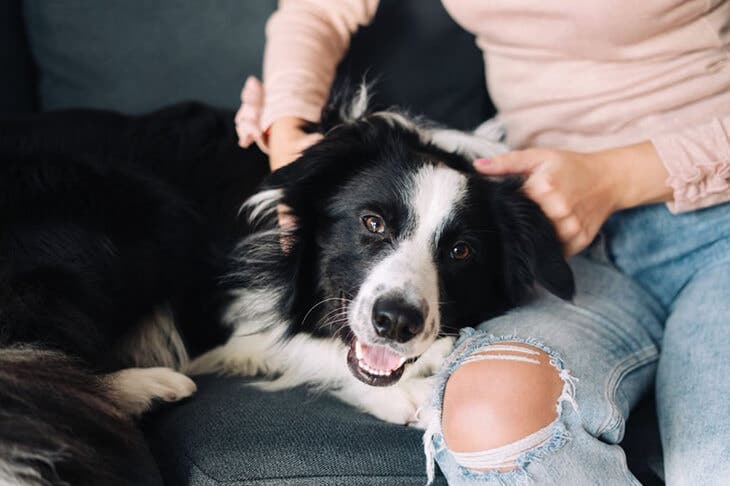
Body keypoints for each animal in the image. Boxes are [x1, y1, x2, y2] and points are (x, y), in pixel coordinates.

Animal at [0, 91, 572, 486]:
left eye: (460, 252)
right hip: (145, 215)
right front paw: (410, 391)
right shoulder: (232, 307)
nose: (396, 322)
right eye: (372, 223)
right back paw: (145, 386)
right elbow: (302, 347)